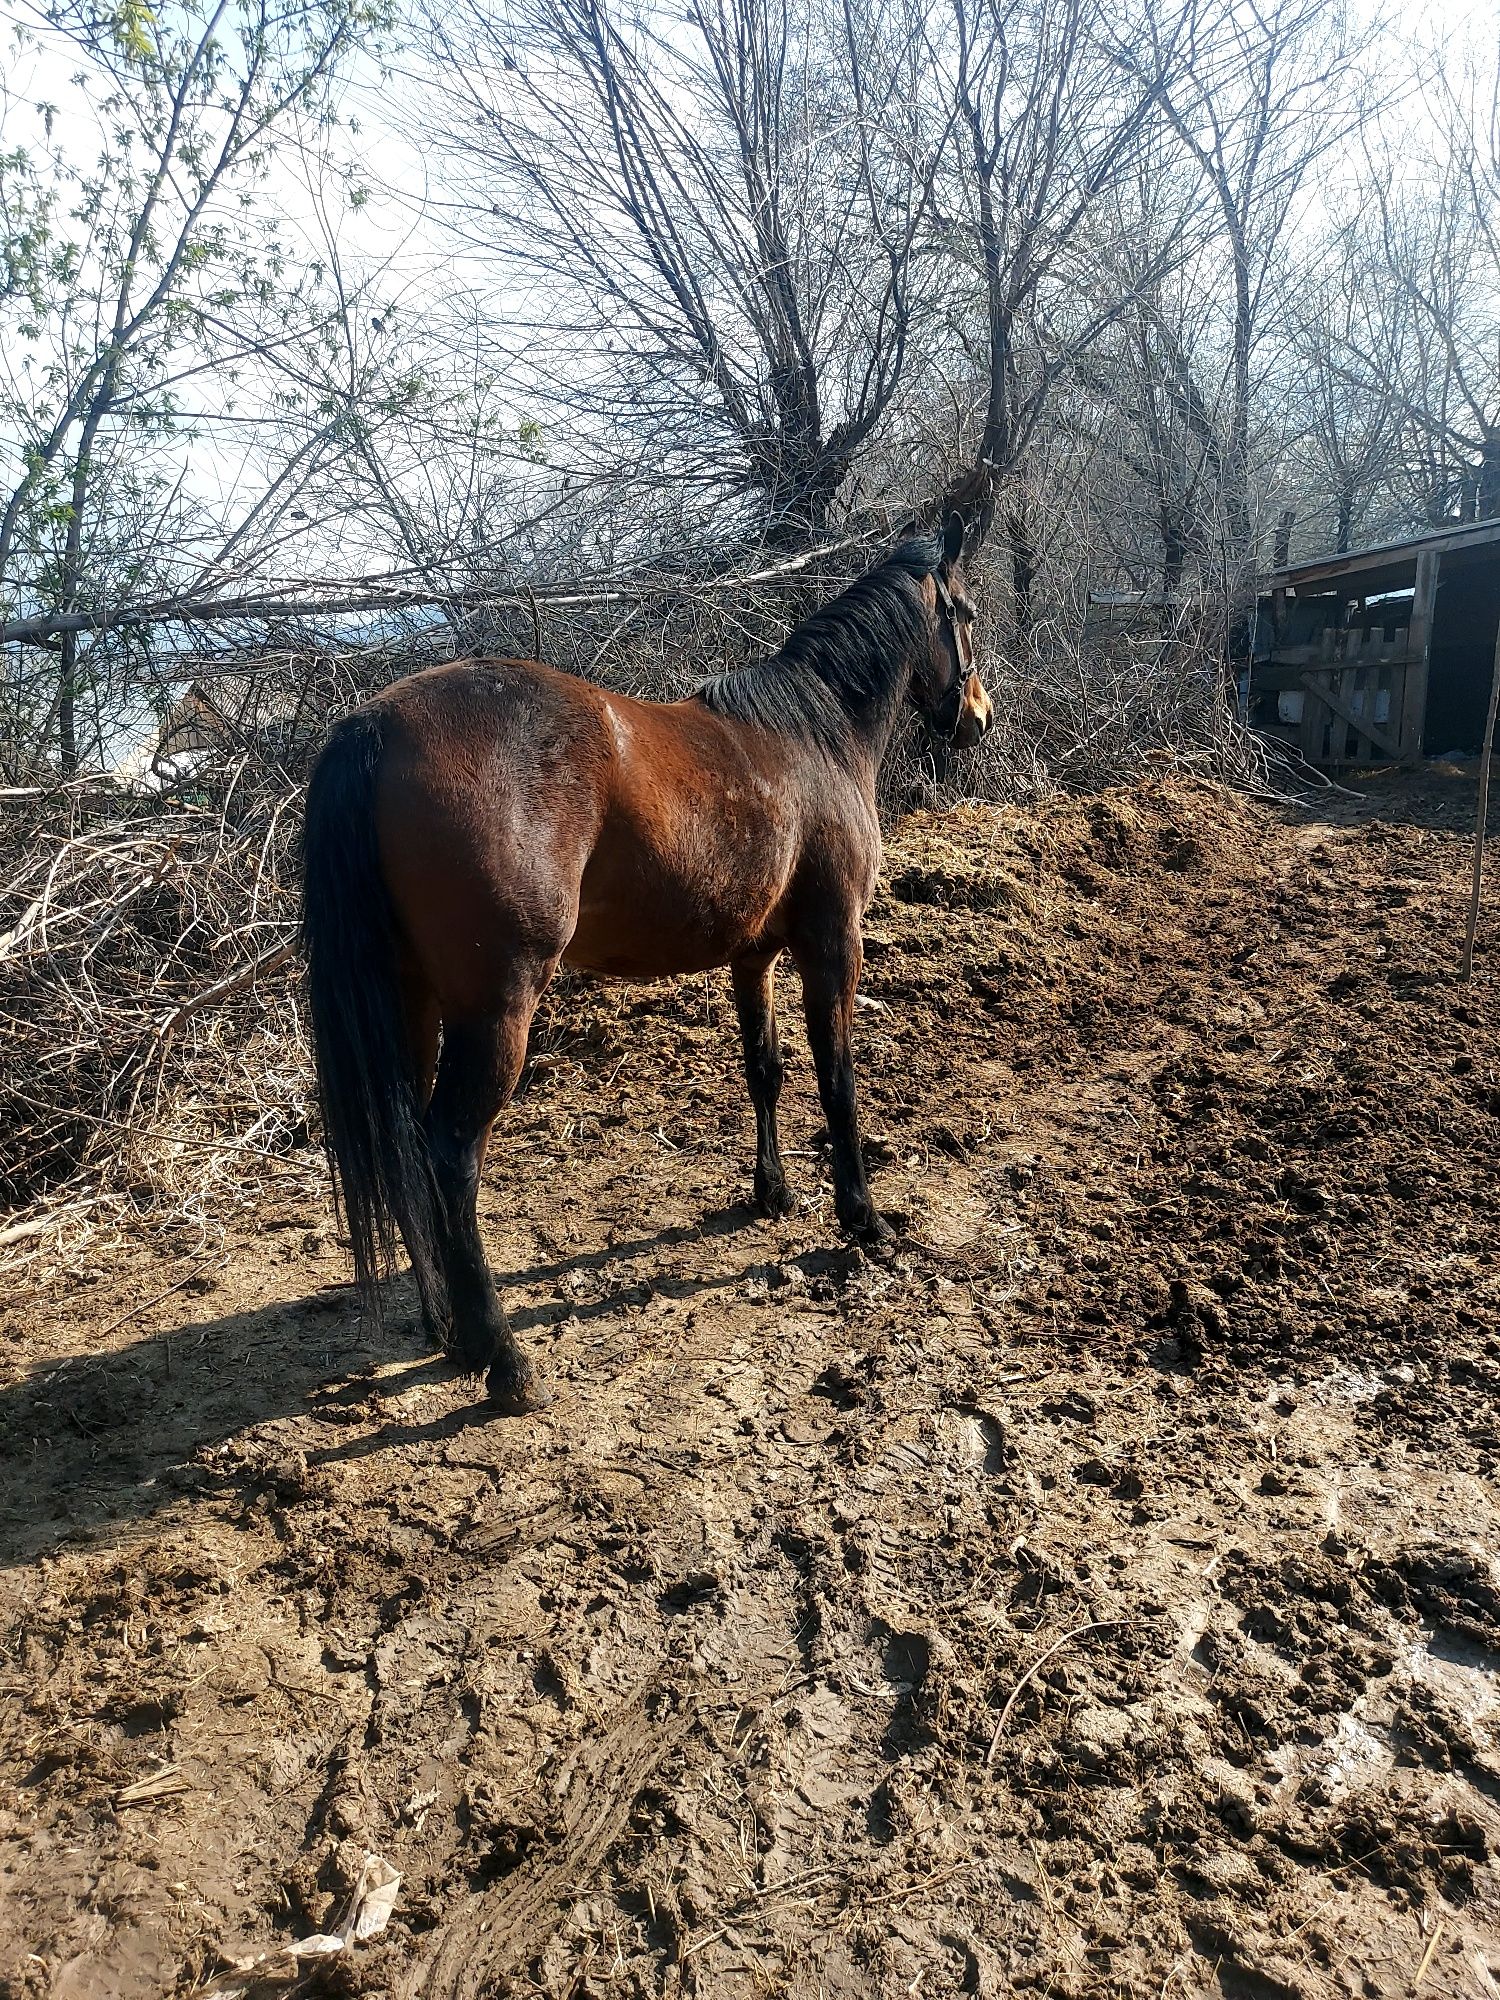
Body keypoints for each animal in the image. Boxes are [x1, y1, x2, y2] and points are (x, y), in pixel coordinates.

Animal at [302, 524, 992, 1416]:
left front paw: (773, 1194)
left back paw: (445, 1328)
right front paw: (862, 1218)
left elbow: (764, 1070)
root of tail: (374, 723)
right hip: (495, 1011)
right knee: (448, 1153)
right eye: (965, 611)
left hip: (411, 1004)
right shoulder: (833, 943)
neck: (814, 737)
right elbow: (837, 1078)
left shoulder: (755, 957)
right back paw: (503, 1361)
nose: (977, 717)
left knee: (406, 1146)